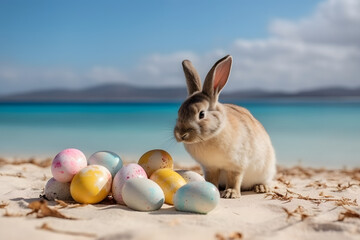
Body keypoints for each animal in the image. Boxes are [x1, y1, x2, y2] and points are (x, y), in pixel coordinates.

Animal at [174, 54, 276, 199]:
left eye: (201, 114)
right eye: (179, 112)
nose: (181, 134)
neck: (213, 134)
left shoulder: (236, 165)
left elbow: (234, 178)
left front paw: (231, 193)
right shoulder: (210, 167)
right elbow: (211, 179)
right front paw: (212, 188)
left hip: (266, 170)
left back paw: (261, 187)